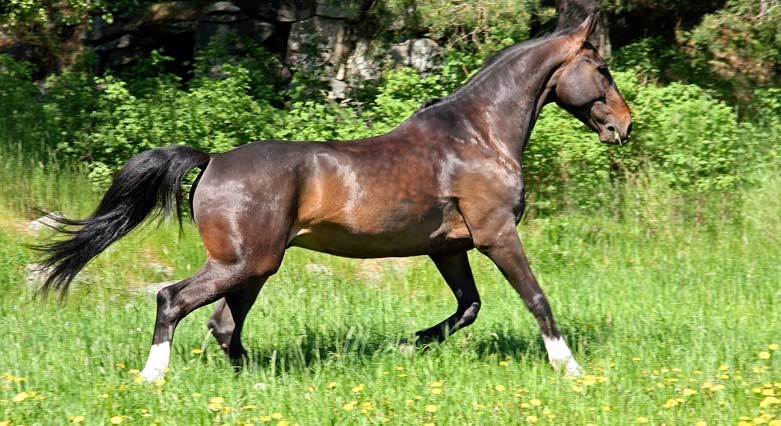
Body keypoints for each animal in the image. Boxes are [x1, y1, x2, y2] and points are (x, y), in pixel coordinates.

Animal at [36, 14, 631, 381]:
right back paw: (152, 376)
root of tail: (213, 160)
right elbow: (536, 299)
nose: (624, 126)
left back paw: (254, 385)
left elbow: (468, 307)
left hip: (254, 267)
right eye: (602, 69)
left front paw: (407, 344)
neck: (478, 134)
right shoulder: (496, 235)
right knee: (172, 300)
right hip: (242, 263)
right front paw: (570, 368)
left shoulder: (447, 247)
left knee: (223, 325)